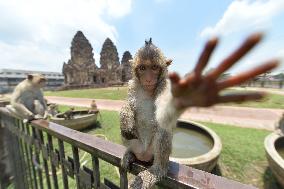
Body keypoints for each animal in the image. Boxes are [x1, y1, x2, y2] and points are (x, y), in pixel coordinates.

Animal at [119, 34, 278, 189]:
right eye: (142, 68)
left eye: (153, 67)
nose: (148, 78)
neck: (148, 90)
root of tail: (144, 156)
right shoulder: (132, 85)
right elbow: (129, 105)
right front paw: (126, 117)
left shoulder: (164, 86)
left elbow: (164, 116)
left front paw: (191, 94)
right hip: (136, 145)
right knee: (127, 135)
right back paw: (130, 154)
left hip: (153, 154)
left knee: (163, 132)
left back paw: (157, 170)